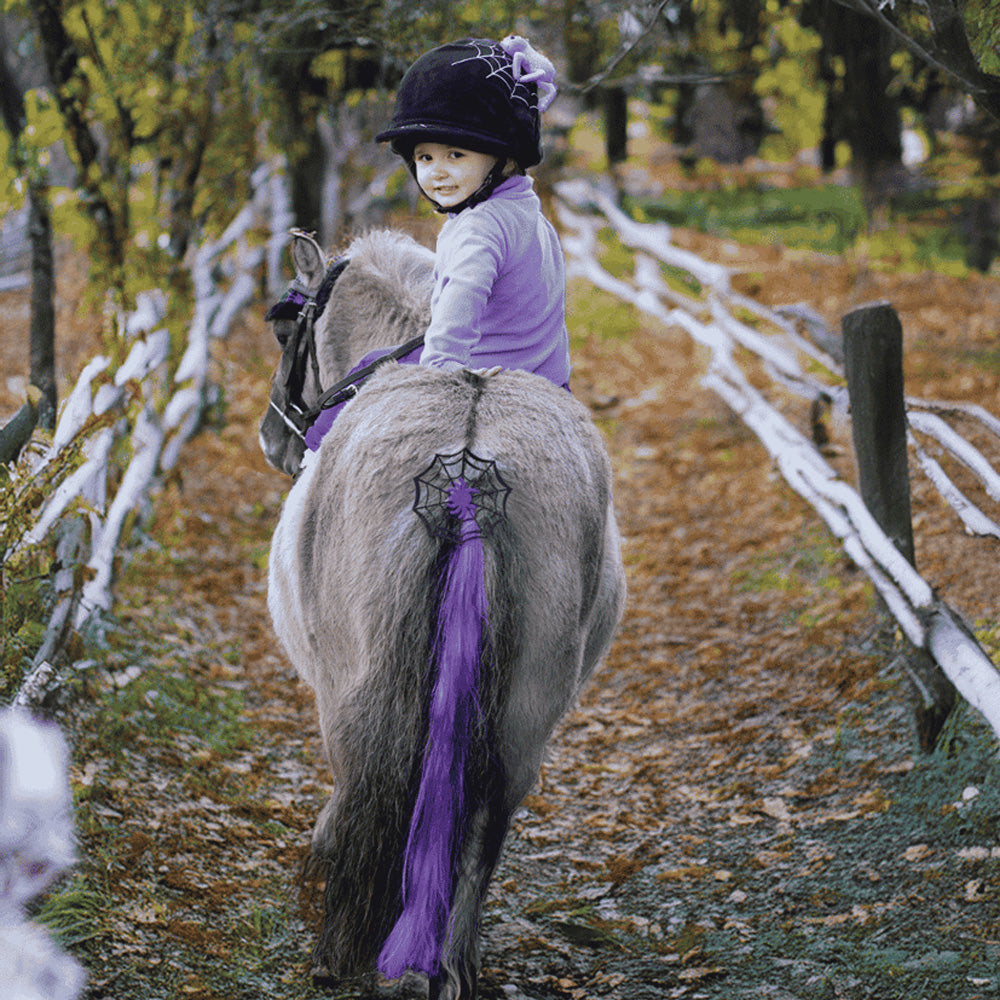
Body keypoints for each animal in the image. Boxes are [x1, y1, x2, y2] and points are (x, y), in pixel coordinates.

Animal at [261, 228, 627, 999]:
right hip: (525, 715)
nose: (272, 437)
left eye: (285, 328)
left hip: (357, 694)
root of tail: (467, 466)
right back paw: (448, 964)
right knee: (482, 825)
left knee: (369, 786)